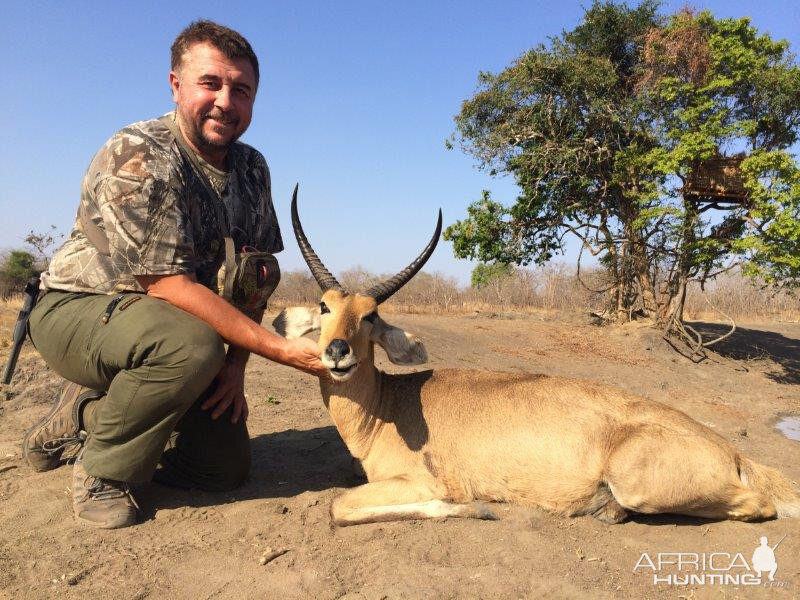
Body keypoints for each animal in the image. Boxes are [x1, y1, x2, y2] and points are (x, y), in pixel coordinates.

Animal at [274, 186, 800, 524]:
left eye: (371, 316)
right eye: (325, 307)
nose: (337, 351)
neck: (387, 407)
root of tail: (731, 450)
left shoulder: (420, 482)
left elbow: (339, 506)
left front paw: (476, 508)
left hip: (639, 482)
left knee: (759, 506)